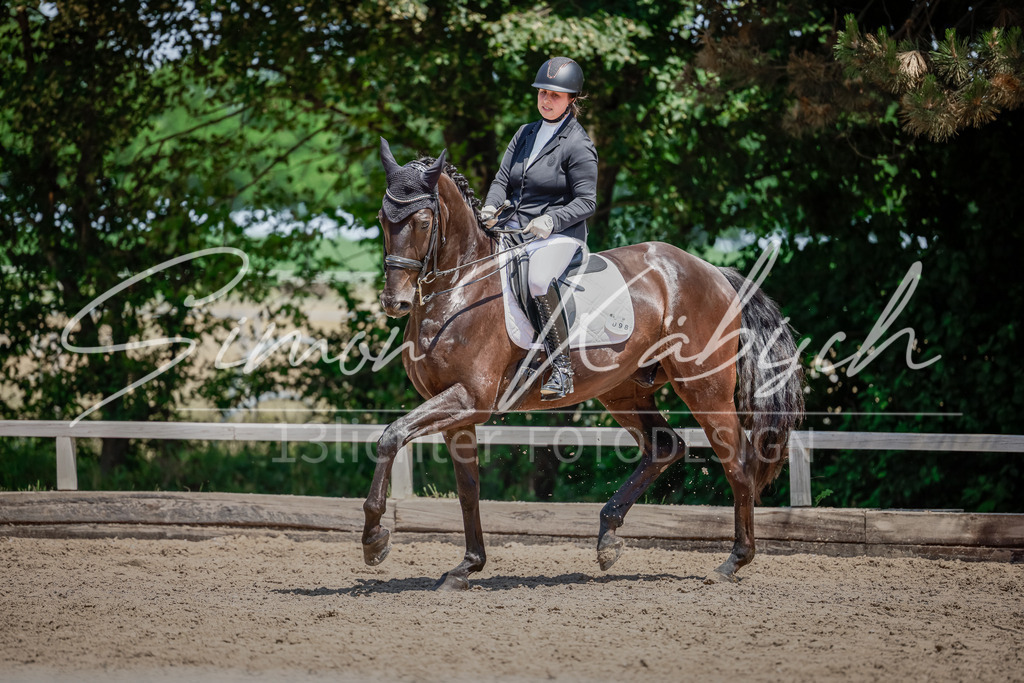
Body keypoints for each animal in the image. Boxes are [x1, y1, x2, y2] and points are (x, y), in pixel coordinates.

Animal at [363, 140, 804, 590]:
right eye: (382, 219)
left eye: (422, 221)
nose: (395, 302)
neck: (460, 286)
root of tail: (712, 271)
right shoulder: (458, 410)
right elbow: (468, 491)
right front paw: (466, 567)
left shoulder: (470, 398)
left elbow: (390, 436)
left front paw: (375, 539)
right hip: (624, 391)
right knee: (665, 447)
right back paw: (608, 536)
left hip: (704, 388)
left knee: (738, 463)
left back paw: (734, 560)